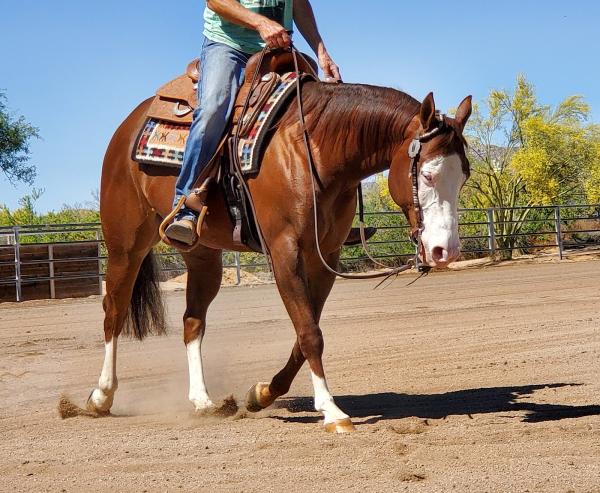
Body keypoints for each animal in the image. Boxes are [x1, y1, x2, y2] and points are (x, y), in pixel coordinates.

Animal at [90, 77, 474, 430]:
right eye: (427, 174)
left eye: (464, 177)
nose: (446, 250)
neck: (314, 150)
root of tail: (128, 127)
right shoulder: (284, 250)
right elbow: (310, 333)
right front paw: (332, 411)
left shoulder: (325, 257)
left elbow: (306, 331)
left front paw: (261, 394)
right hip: (126, 244)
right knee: (114, 311)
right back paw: (101, 396)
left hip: (202, 255)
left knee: (192, 320)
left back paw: (202, 400)